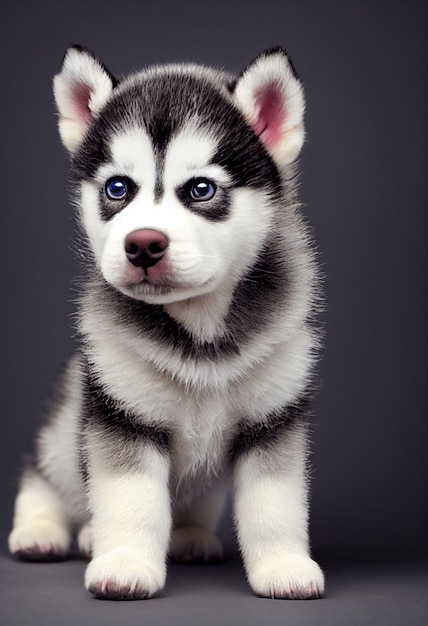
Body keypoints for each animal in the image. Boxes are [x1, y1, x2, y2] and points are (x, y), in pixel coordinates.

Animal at [8, 45, 324, 600]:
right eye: (118, 188)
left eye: (200, 189)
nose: (143, 244)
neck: (200, 333)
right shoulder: (122, 415)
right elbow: (131, 499)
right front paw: (126, 565)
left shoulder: (274, 418)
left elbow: (275, 503)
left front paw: (284, 566)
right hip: (64, 424)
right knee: (46, 476)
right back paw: (46, 532)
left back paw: (189, 537)